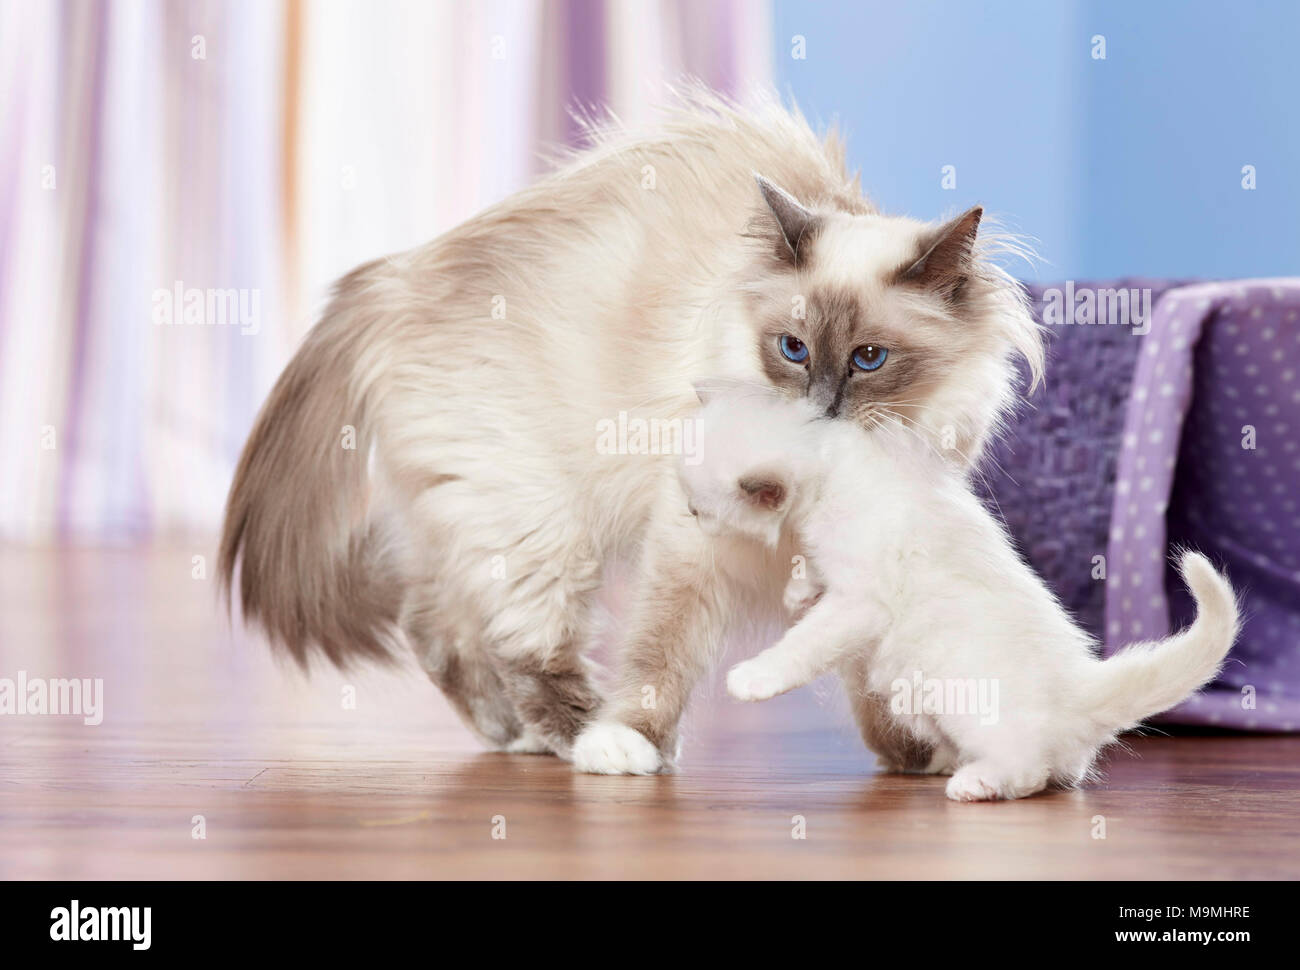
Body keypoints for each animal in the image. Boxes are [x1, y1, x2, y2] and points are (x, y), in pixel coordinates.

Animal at [681, 384, 1237, 800]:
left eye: (698, 509)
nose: (690, 519)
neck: (831, 467)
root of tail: (1082, 690)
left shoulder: (862, 602)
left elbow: (806, 643)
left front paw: (754, 677)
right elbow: (815, 573)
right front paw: (800, 590)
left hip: (967, 705)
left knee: (1029, 772)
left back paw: (975, 782)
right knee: (1060, 772)